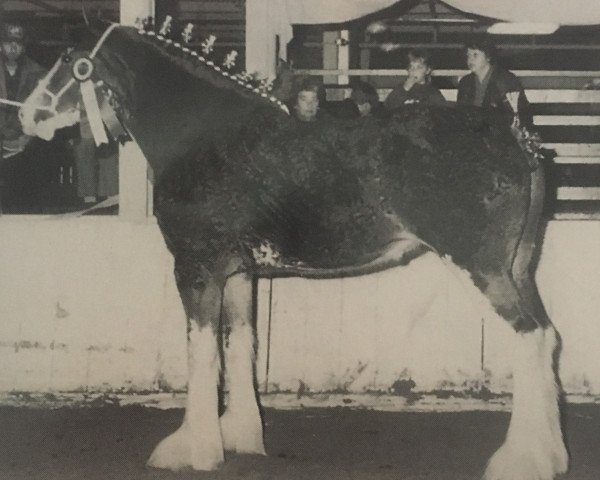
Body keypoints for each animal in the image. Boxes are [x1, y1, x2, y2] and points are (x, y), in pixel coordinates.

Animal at [19, 19, 568, 480]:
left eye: (69, 61)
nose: (27, 114)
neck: (201, 132)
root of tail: (515, 136)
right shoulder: (239, 274)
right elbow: (239, 345)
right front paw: (238, 434)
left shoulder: (196, 268)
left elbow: (201, 351)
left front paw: (192, 447)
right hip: (519, 269)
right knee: (547, 337)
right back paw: (551, 455)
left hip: (481, 269)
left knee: (529, 337)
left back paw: (518, 460)